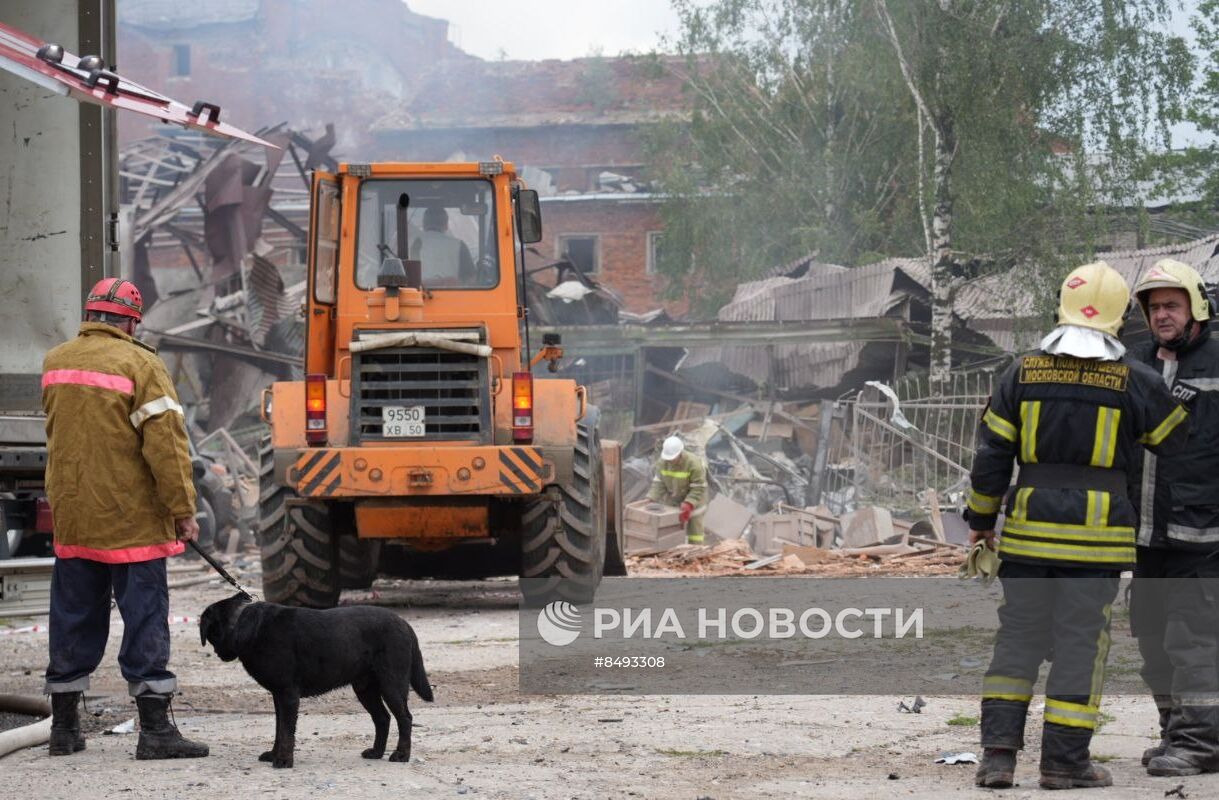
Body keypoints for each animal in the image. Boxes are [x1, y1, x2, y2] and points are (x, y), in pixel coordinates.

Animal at [204, 592, 438, 770]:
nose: (218, 654)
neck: (242, 623)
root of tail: (404, 623)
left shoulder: (288, 695)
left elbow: (286, 731)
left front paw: (284, 760)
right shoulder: (278, 696)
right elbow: (279, 729)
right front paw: (273, 754)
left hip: (392, 684)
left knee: (405, 718)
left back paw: (401, 755)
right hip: (365, 688)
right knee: (382, 718)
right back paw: (376, 752)